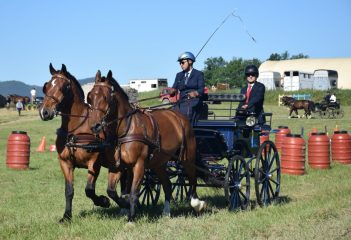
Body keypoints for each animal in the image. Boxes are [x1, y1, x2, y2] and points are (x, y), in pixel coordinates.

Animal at [39, 63, 127, 223]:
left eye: (63, 87)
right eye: (46, 86)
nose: (45, 112)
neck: (76, 128)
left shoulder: (94, 163)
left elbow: (89, 190)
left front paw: (104, 201)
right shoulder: (65, 163)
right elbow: (69, 191)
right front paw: (66, 216)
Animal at [88, 70, 208, 222]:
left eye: (106, 98)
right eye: (90, 97)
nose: (95, 126)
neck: (126, 129)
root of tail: (180, 117)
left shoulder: (139, 164)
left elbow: (134, 192)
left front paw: (131, 218)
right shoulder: (117, 166)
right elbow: (112, 191)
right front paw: (123, 205)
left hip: (187, 158)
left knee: (192, 179)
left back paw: (197, 204)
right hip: (159, 163)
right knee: (167, 185)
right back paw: (166, 212)